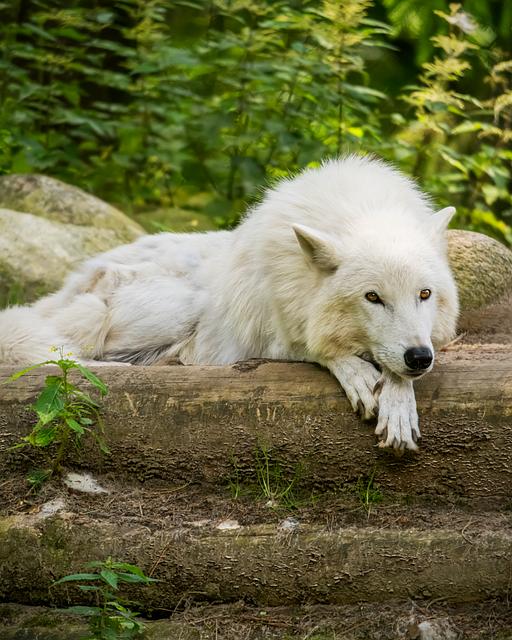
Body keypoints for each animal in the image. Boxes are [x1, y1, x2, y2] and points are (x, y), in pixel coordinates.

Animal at [0, 156, 456, 450]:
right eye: (373, 297)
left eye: (424, 294)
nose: (419, 357)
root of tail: (73, 280)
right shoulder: (266, 337)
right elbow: (317, 348)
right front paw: (358, 374)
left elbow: (397, 376)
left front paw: (398, 407)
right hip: (177, 308)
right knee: (64, 355)